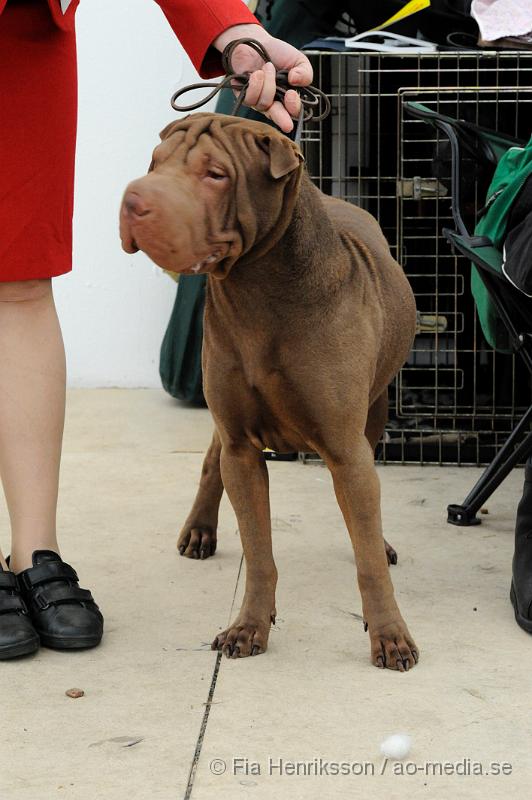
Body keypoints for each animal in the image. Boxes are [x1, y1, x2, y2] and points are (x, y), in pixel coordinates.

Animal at [120, 111, 420, 668]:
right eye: (154, 163)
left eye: (215, 174)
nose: (133, 200)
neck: (258, 293)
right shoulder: (241, 445)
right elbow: (258, 550)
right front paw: (248, 627)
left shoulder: (346, 450)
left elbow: (368, 557)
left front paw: (391, 636)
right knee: (211, 459)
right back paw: (200, 530)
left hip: (372, 414)